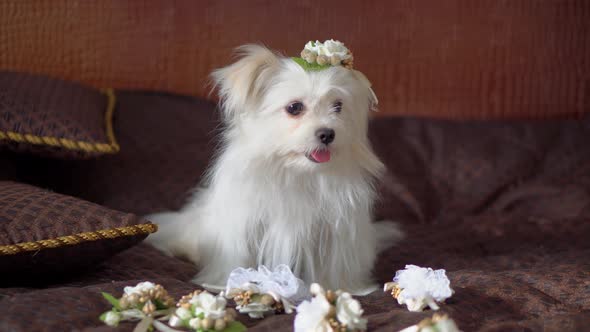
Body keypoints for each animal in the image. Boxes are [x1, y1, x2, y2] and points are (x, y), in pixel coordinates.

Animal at [147, 43, 402, 294]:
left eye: (338, 106)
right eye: (294, 107)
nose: (328, 134)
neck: (295, 171)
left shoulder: (336, 231)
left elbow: (334, 264)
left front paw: (340, 287)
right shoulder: (244, 223)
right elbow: (237, 256)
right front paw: (226, 282)